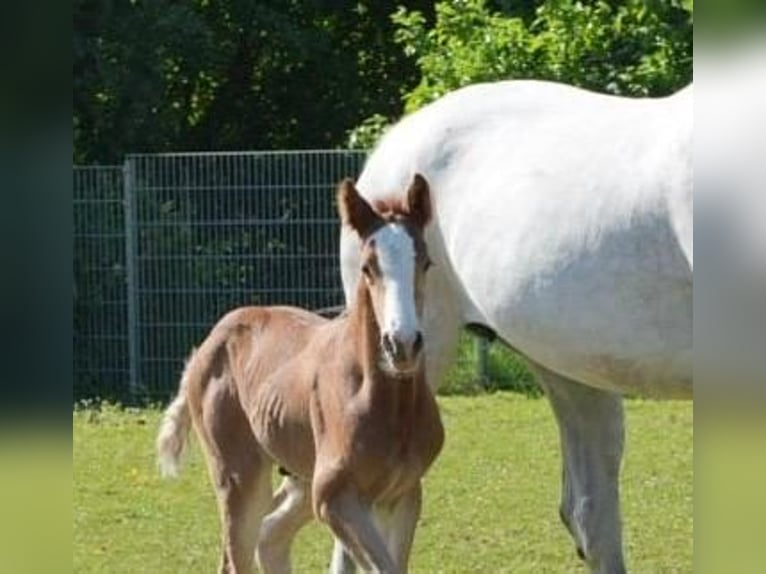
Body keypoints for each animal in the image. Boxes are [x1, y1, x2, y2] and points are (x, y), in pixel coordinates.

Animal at [156, 174, 443, 574]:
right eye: (367, 268)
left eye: (426, 263)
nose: (401, 345)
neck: (385, 402)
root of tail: (210, 342)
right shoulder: (333, 497)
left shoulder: (403, 494)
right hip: (241, 478)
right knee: (239, 552)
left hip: (299, 480)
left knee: (270, 535)